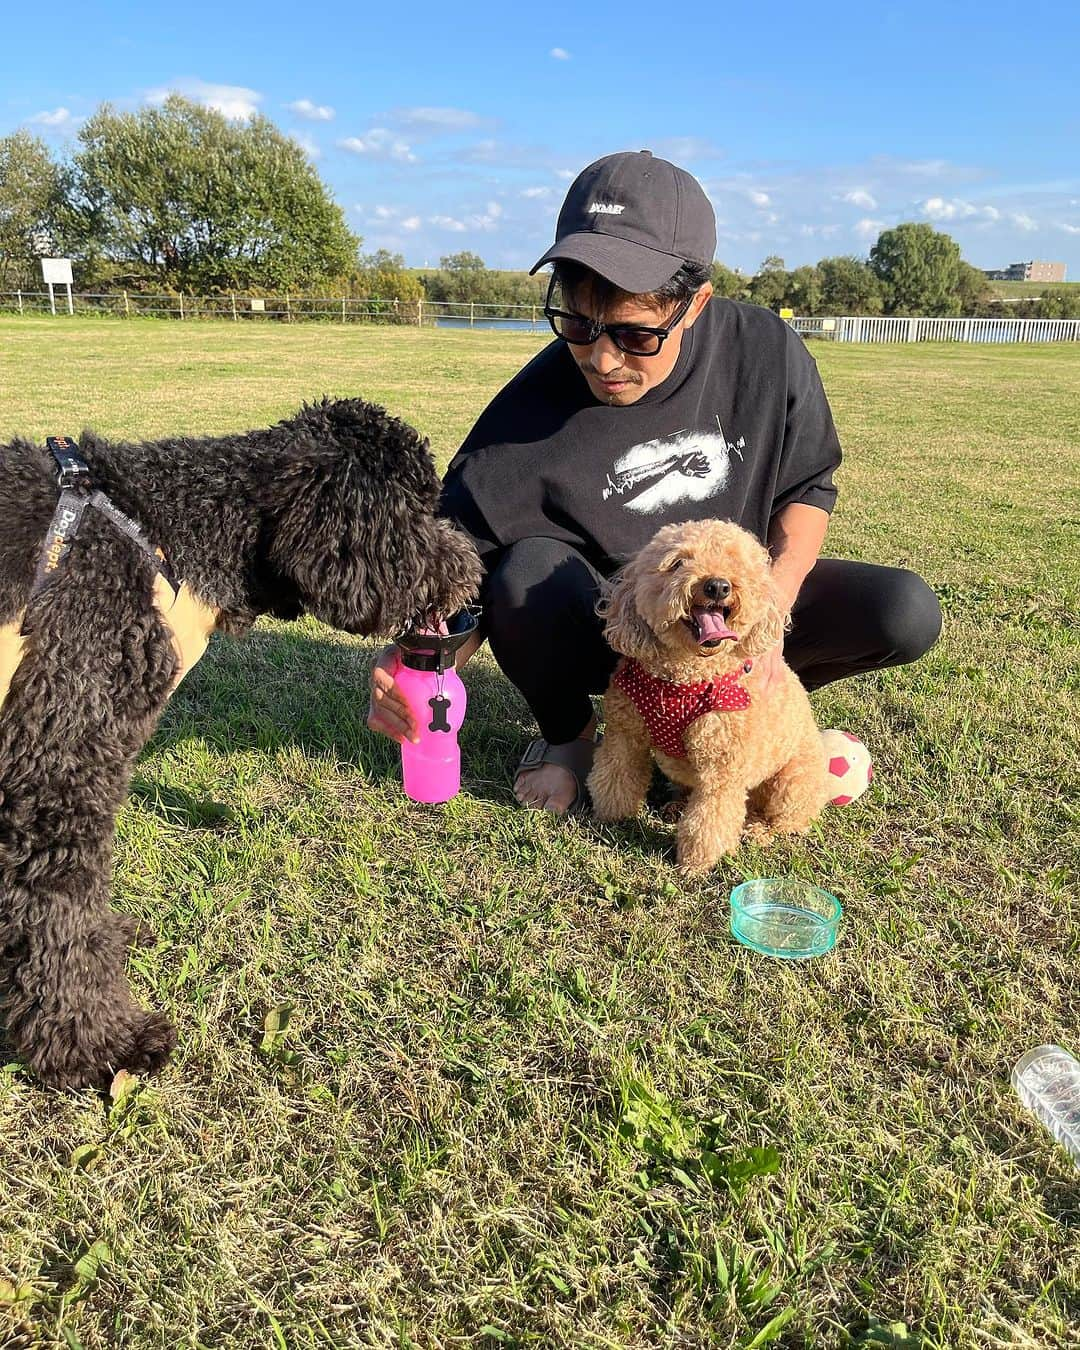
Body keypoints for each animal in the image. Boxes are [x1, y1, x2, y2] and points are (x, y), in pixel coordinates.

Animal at [0, 396, 480, 1085]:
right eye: (415, 513)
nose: (474, 567)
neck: (172, 527)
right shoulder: (55, 768)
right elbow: (57, 908)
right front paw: (100, 1044)